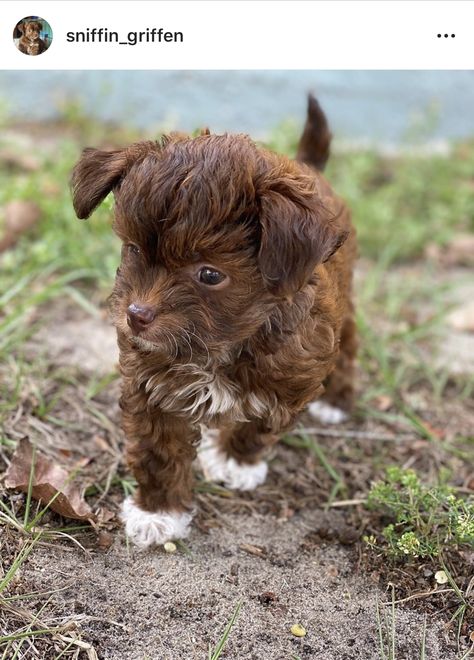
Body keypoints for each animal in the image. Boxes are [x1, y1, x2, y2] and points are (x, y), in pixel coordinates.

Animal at [72, 95, 358, 548]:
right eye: (133, 249)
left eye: (209, 274)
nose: (136, 316)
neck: (224, 343)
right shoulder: (151, 382)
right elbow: (158, 449)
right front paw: (158, 511)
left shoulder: (295, 371)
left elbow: (260, 422)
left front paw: (234, 459)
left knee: (349, 346)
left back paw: (337, 401)